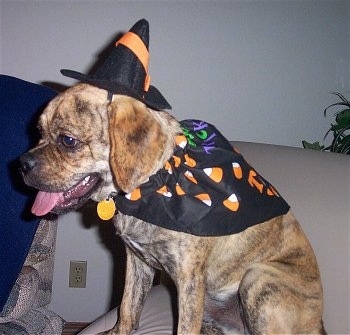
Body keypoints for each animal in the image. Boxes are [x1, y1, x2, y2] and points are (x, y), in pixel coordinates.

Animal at [19, 82, 326, 334]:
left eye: (68, 141)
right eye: (39, 132)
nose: (21, 165)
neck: (152, 185)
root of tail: (318, 325)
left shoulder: (189, 280)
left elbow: (183, 328)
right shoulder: (137, 261)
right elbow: (127, 311)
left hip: (258, 279)